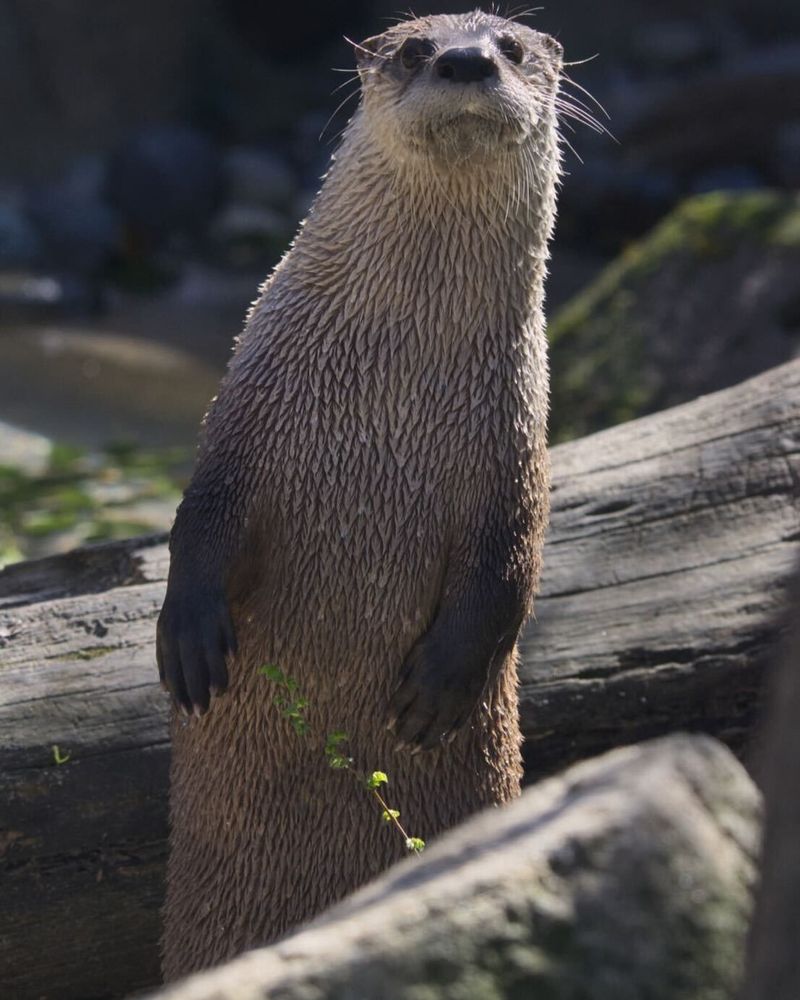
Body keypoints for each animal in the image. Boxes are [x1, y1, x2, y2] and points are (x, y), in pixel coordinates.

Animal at [157, 10, 563, 981]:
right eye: (416, 49)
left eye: (512, 46)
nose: (466, 60)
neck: (397, 382)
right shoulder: (249, 404)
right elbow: (202, 513)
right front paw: (189, 634)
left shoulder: (515, 445)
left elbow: (512, 565)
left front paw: (443, 684)